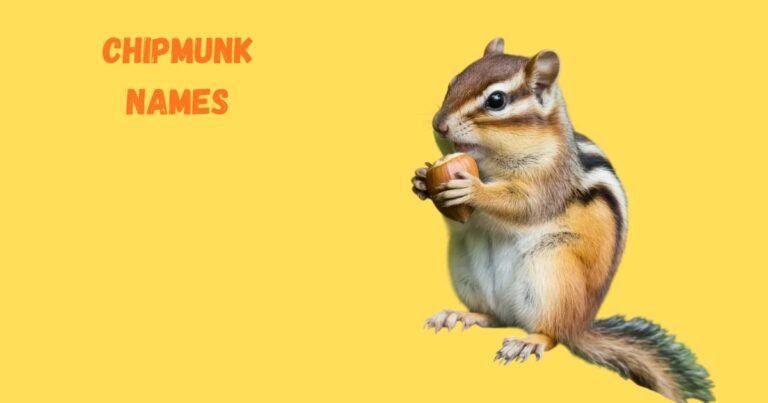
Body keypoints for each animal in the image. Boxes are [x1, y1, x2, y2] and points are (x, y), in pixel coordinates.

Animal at [411, 38, 713, 402]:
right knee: (493, 316)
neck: (489, 165)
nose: (438, 124)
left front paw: (472, 189)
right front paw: (422, 179)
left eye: (496, 101)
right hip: (469, 274)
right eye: (453, 82)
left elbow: (522, 204)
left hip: (552, 275)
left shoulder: (548, 183)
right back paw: (460, 315)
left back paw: (528, 341)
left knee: (552, 334)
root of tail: (579, 326)